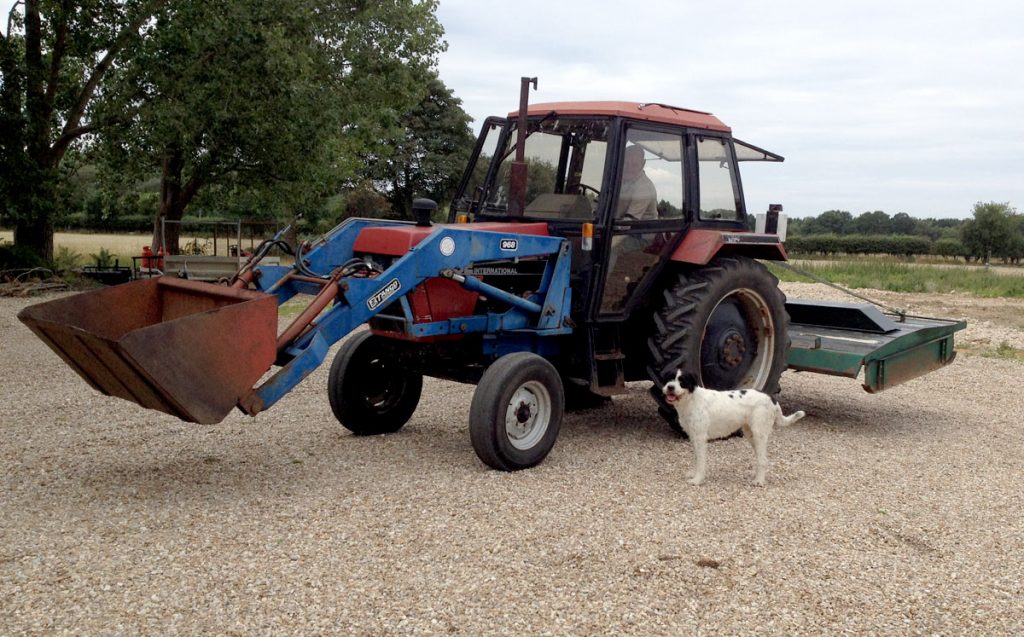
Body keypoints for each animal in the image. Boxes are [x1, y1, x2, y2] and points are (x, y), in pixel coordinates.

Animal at [659, 372, 802, 487]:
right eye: (668, 379)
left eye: (682, 381)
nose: (670, 387)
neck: (692, 400)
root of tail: (772, 399)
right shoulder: (693, 437)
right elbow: (696, 458)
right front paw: (694, 474)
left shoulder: (700, 438)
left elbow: (701, 460)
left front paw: (698, 480)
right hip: (751, 434)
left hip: (759, 434)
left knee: (763, 460)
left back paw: (759, 481)